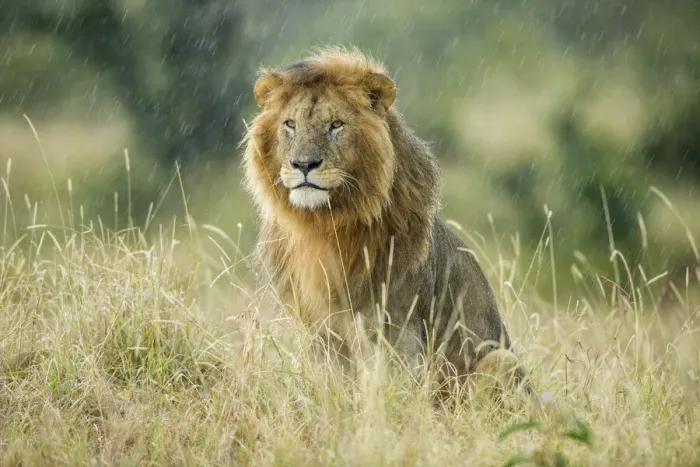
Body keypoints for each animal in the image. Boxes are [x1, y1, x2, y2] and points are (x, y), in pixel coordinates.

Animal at [243, 47, 527, 394]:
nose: (304, 164)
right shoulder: (319, 331)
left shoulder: (396, 327)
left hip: (502, 360)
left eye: (336, 124)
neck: (323, 226)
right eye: (290, 124)